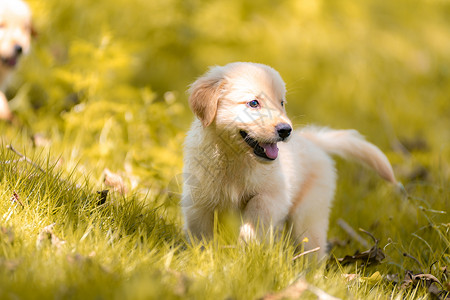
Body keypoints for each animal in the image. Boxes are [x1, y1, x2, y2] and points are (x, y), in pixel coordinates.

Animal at [181, 61, 396, 258]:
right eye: (253, 103)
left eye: (281, 103)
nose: (286, 130)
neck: (234, 158)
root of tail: (311, 139)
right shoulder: (198, 202)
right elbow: (201, 235)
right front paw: (205, 258)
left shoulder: (273, 196)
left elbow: (255, 215)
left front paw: (246, 250)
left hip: (308, 216)